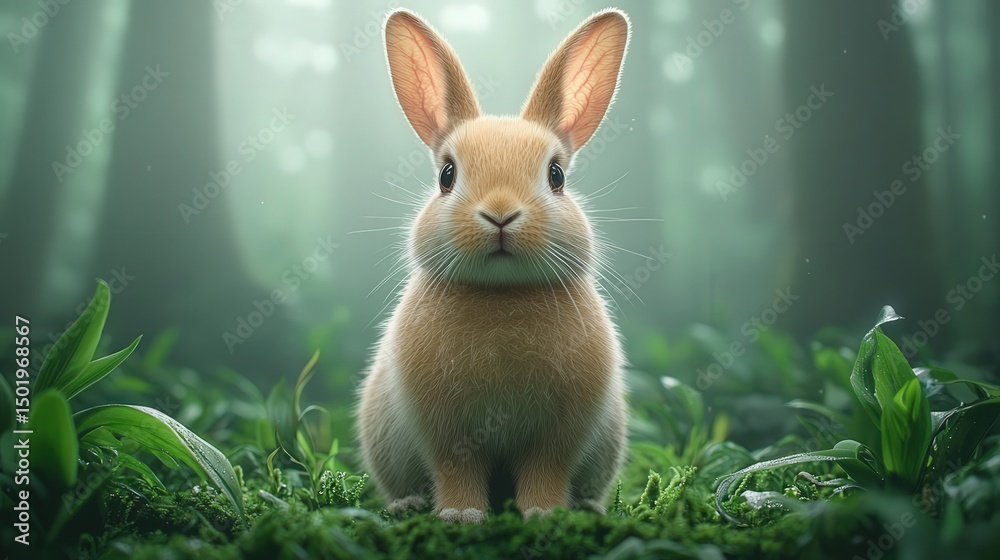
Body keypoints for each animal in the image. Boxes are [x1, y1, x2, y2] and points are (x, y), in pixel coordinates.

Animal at [357, 7, 631, 524]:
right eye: (446, 176)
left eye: (556, 176)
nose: (500, 214)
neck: (502, 294)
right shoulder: (447, 433)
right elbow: (456, 470)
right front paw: (461, 515)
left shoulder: (559, 433)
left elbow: (547, 470)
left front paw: (544, 514)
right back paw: (407, 504)